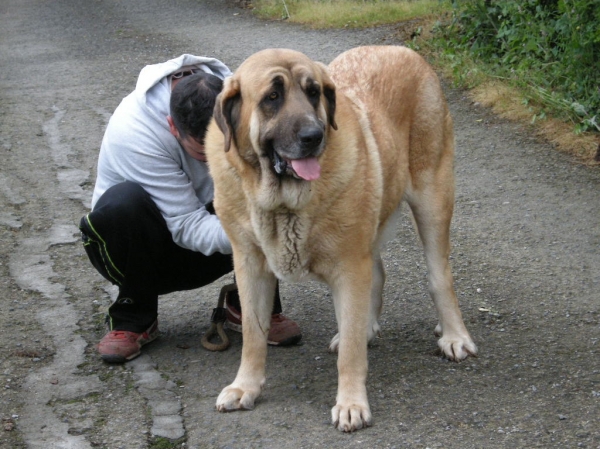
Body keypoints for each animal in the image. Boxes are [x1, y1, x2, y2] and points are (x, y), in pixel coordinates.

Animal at [204, 44, 476, 430]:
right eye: (272, 96)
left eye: (313, 92)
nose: (313, 136)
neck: (282, 202)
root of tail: (399, 49)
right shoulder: (251, 266)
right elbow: (254, 335)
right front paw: (246, 387)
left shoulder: (349, 267)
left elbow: (350, 352)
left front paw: (351, 403)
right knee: (377, 276)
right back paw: (369, 328)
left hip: (432, 199)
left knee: (439, 277)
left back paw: (455, 336)